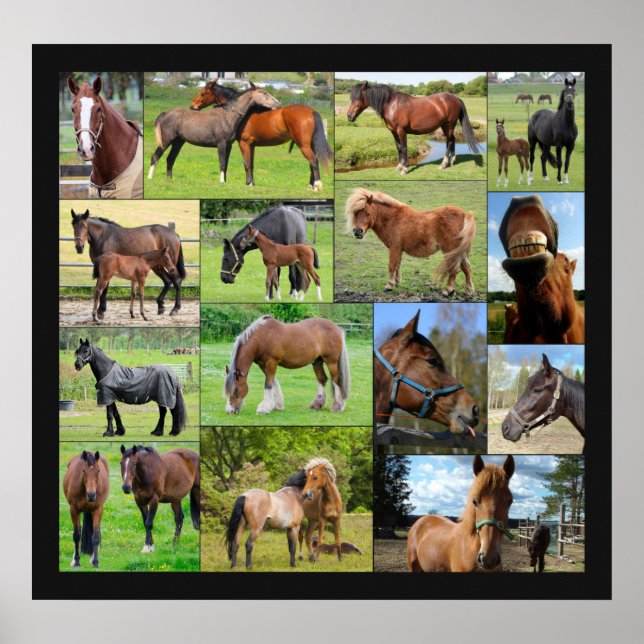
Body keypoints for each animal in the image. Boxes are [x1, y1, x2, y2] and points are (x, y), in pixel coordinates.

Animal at [148, 87, 280, 184]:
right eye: (264, 93)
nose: (278, 104)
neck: (227, 116)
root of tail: (165, 113)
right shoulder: (221, 144)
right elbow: (222, 163)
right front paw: (221, 182)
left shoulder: (228, 146)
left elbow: (225, 164)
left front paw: (225, 182)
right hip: (166, 141)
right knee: (155, 157)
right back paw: (150, 178)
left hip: (178, 142)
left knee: (170, 159)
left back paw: (169, 180)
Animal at [190, 80, 333, 191]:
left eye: (203, 93)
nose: (192, 106)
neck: (245, 112)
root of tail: (311, 111)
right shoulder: (252, 145)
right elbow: (251, 164)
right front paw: (252, 183)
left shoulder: (244, 143)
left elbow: (246, 163)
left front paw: (248, 183)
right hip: (310, 144)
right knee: (312, 162)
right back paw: (311, 186)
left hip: (303, 145)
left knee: (313, 161)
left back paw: (317, 186)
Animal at [345, 188, 476, 295]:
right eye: (355, 213)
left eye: (368, 213)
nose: (357, 232)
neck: (393, 219)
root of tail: (464, 215)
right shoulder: (398, 249)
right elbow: (398, 265)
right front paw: (397, 282)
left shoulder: (394, 248)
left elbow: (392, 265)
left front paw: (389, 285)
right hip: (460, 252)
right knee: (466, 268)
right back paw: (469, 290)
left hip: (450, 251)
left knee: (454, 269)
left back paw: (448, 290)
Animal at [346, 82, 480, 173]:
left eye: (357, 98)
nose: (349, 116)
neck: (391, 105)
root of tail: (455, 98)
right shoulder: (394, 132)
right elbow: (399, 148)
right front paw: (399, 166)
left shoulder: (401, 131)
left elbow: (404, 147)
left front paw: (405, 168)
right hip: (445, 126)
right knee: (452, 140)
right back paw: (451, 162)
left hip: (449, 125)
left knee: (449, 141)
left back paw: (444, 164)